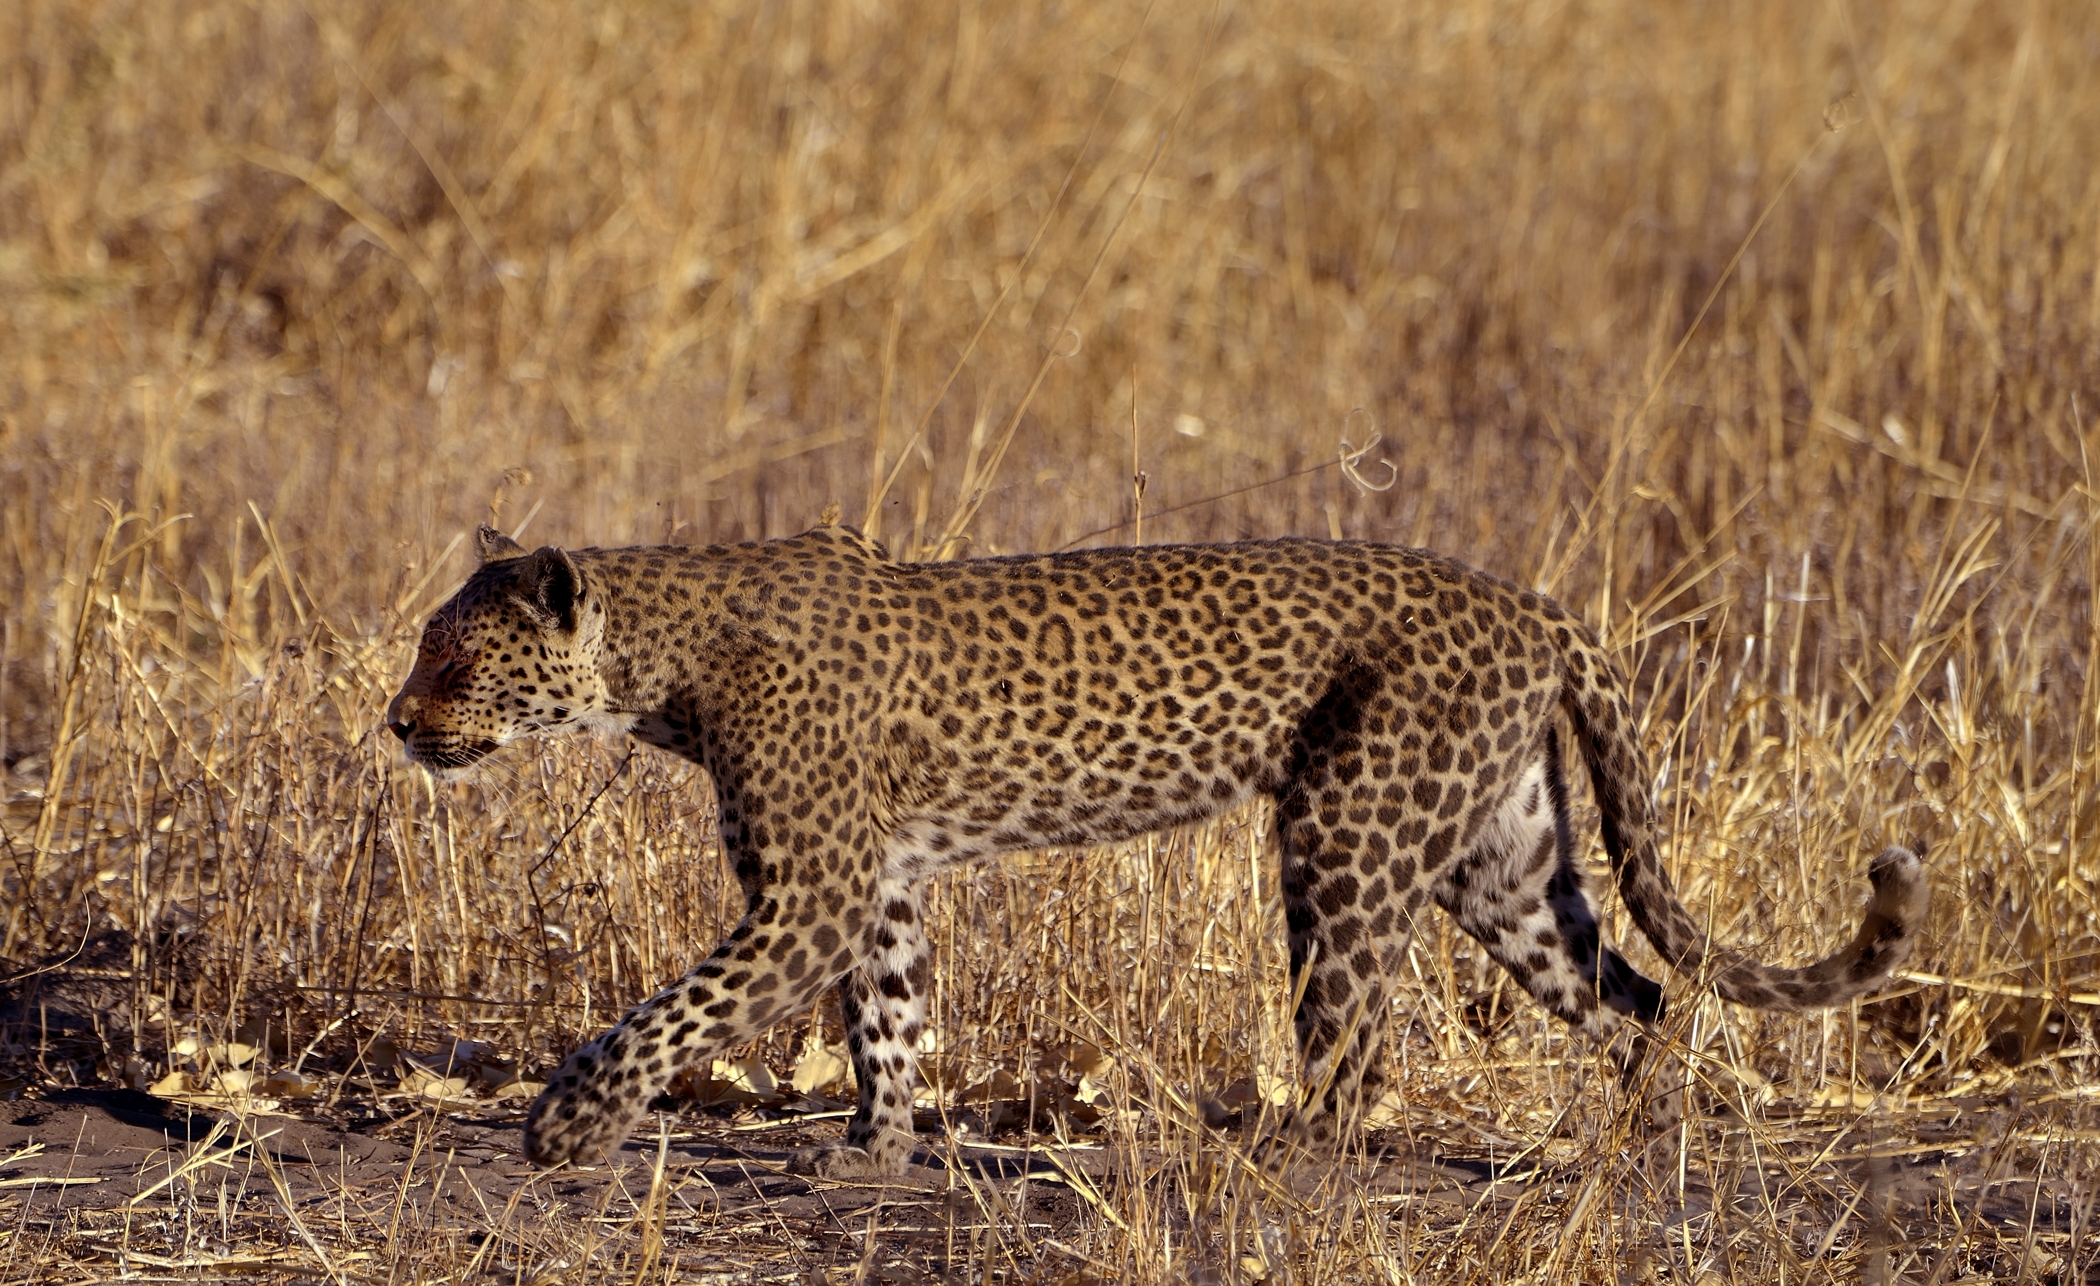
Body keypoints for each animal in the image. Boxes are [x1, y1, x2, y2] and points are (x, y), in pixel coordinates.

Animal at [384, 521, 1927, 1176]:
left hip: (1347, 824)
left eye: (452, 659)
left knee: (1360, 1026)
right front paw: (875, 1149)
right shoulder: (876, 885)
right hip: (1500, 859)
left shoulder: (810, 889)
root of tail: (1532, 602)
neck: (663, 660)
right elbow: (891, 1017)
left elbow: (672, 1009)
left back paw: (1289, 1158)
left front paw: (568, 1123)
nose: (397, 722)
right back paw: (1642, 1146)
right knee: (1639, 994)